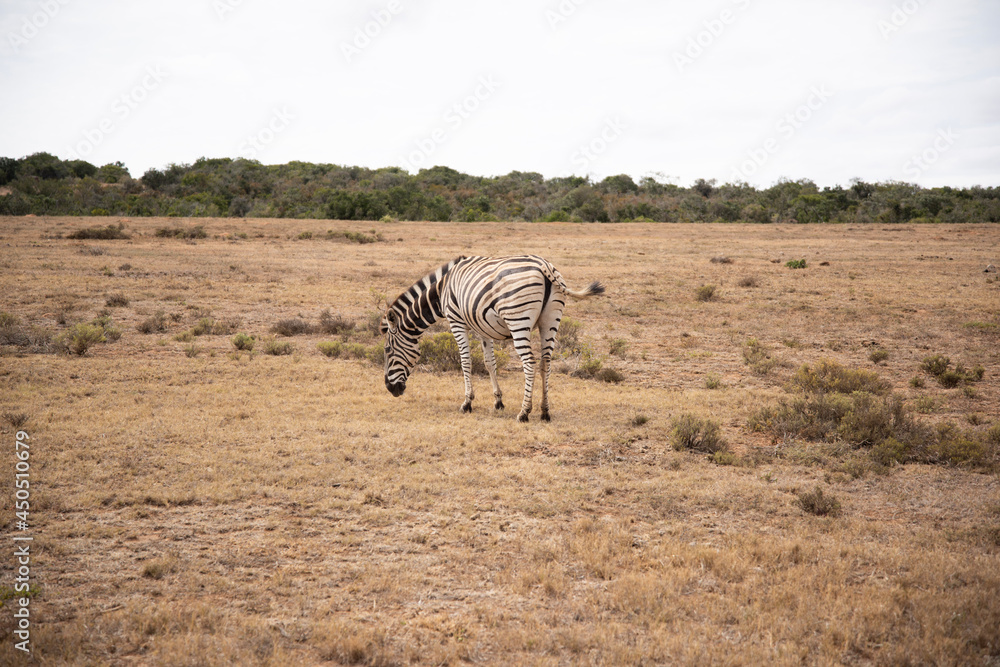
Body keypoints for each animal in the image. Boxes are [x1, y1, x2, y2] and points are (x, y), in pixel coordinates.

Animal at [381, 255, 604, 422]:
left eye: (387, 350)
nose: (391, 389)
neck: (441, 290)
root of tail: (544, 265)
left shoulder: (456, 321)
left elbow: (466, 361)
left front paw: (467, 403)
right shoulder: (482, 326)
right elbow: (490, 363)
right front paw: (498, 401)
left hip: (518, 319)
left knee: (530, 363)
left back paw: (524, 412)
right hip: (550, 320)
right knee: (546, 363)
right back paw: (544, 411)